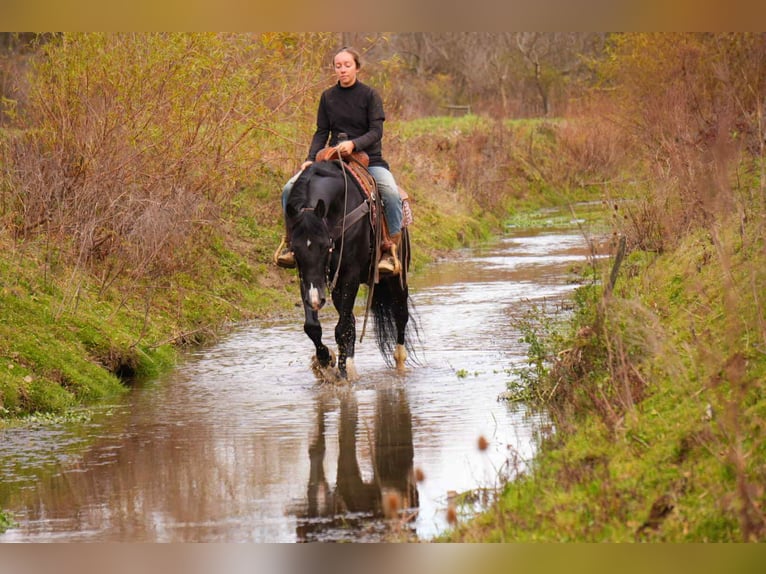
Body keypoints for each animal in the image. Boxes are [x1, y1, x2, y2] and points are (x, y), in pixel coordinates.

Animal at [284, 159, 416, 381]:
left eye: (325, 245)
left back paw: (399, 364)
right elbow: (313, 327)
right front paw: (325, 361)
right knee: (352, 321)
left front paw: (344, 373)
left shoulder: (350, 275)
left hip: (397, 278)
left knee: (400, 314)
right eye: (294, 249)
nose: (316, 301)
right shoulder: (308, 278)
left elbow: (342, 328)